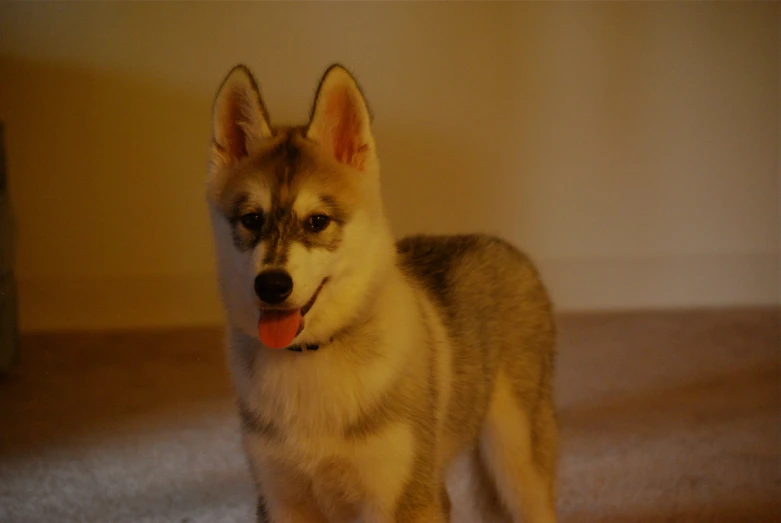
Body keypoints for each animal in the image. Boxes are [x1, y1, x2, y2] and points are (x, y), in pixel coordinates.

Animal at [207, 63, 556, 520]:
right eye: (252, 219)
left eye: (317, 221)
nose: (272, 285)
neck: (312, 358)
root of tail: (504, 245)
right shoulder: (279, 497)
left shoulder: (404, 497)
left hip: (514, 462)